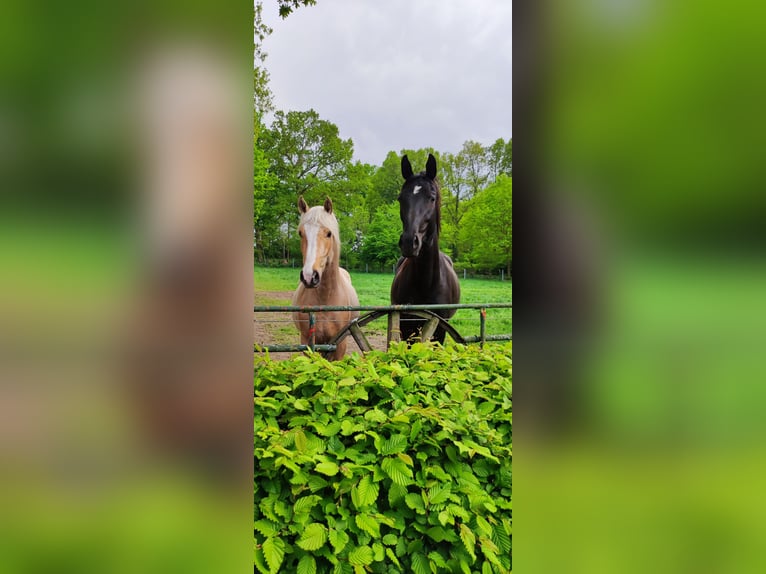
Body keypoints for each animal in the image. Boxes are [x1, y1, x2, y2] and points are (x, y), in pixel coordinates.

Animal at [292, 198, 362, 360]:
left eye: (329, 233)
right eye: (300, 233)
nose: (309, 277)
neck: (325, 299)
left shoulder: (339, 344)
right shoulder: (307, 341)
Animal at [392, 153, 460, 344]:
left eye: (432, 198)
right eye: (401, 199)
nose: (409, 242)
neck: (426, 281)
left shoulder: (439, 327)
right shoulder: (406, 324)